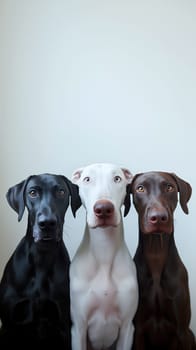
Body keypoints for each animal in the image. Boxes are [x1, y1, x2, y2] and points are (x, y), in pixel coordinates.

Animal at [0, 174, 81, 348]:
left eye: (61, 192)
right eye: (32, 193)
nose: (47, 223)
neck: (41, 257)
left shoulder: (65, 326)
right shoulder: (8, 325)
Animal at [69, 164, 139, 350]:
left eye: (117, 178)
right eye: (87, 179)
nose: (103, 209)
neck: (104, 251)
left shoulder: (127, 328)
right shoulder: (78, 328)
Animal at [130, 172, 196, 350]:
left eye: (169, 187)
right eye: (140, 188)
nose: (158, 218)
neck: (156, 253)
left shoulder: (182, 331)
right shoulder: (137, 331)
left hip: (190, 335)